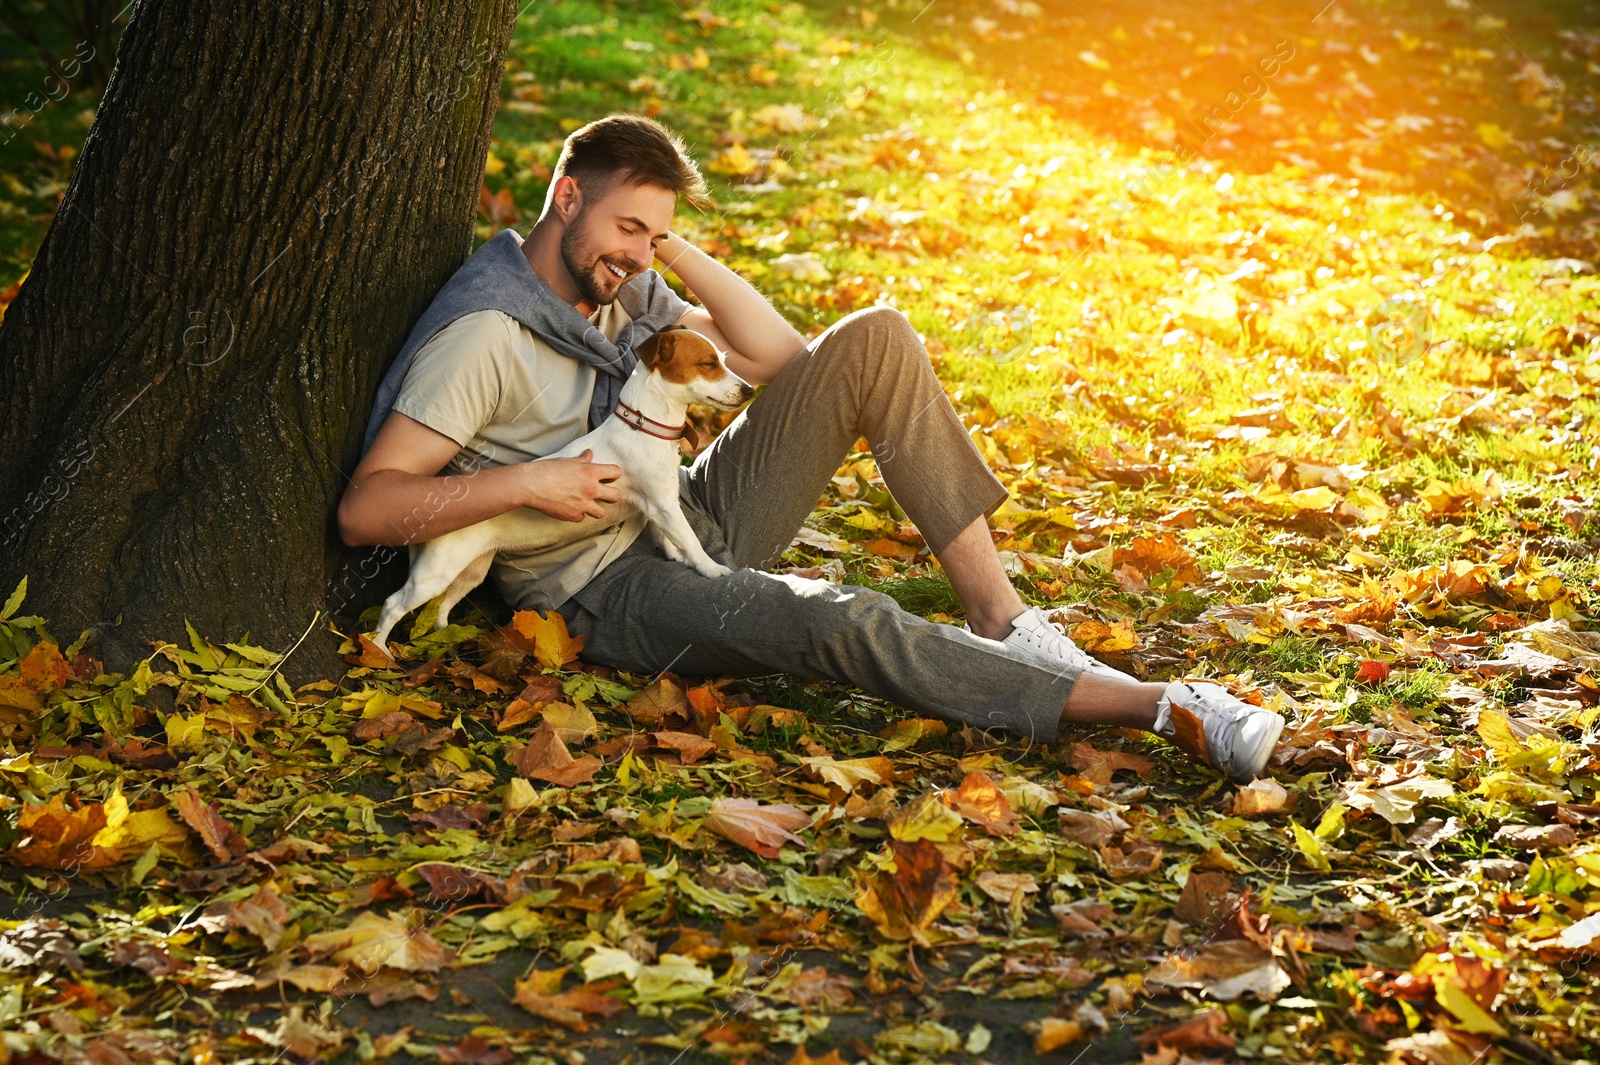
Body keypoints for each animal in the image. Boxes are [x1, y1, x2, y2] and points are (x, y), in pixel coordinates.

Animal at [368, 323, 755, 652]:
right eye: (708, 363)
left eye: (723, 359)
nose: (750, 388)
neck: (644, 426)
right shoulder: (662, 504)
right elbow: (690, 538)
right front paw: (710, 569)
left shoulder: (655, 504)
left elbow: (666, 535)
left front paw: (676, 555)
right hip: (436, 572)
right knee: (393, 604)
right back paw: (378, 651)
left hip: (470, 573)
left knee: (443, 607)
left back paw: (446, 636)